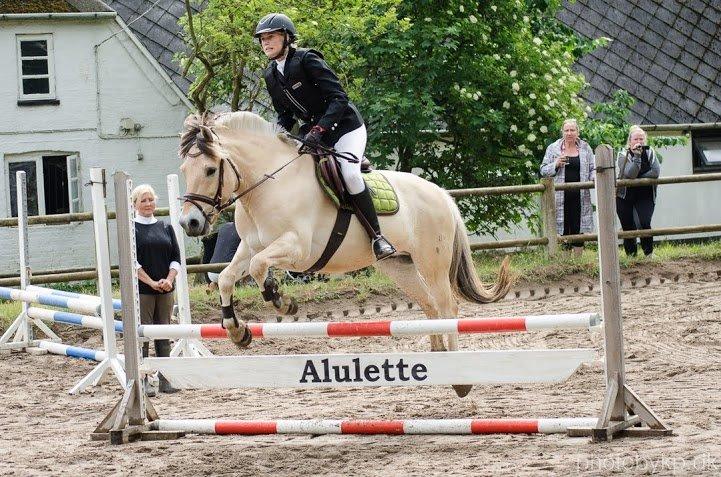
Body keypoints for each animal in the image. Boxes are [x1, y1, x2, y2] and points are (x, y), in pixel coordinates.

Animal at [176, 110, 510, 394]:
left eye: (210, 170)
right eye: (184, 170)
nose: (189, 223)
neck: (270, 185)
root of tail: (441, 194)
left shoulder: (298, 249)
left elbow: (260, 267)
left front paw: (282, 301)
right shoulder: (248, 247)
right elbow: (227, 278)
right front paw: (237, 331)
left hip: (432, 262)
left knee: (446, 307)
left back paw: (459, 378)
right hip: (399, 265)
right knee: (429, 306)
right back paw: (439, 357)